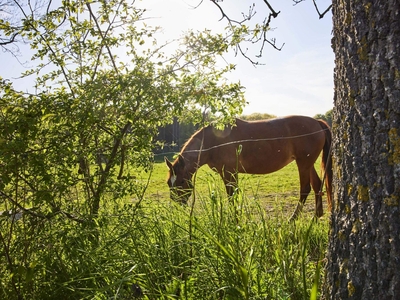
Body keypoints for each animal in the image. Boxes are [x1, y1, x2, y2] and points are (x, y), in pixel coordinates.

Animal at [164, 115, 332, 220]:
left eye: (181, 182)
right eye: (168, 183)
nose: (176, 206)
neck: (213, 142)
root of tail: (317, 122)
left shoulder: (229, 173)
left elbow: (232, 196)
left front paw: (235, 221)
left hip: (303, 163)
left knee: (305, 189)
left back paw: (293, 219)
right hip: (307, 164)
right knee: (317, 185)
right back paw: (316, 216)